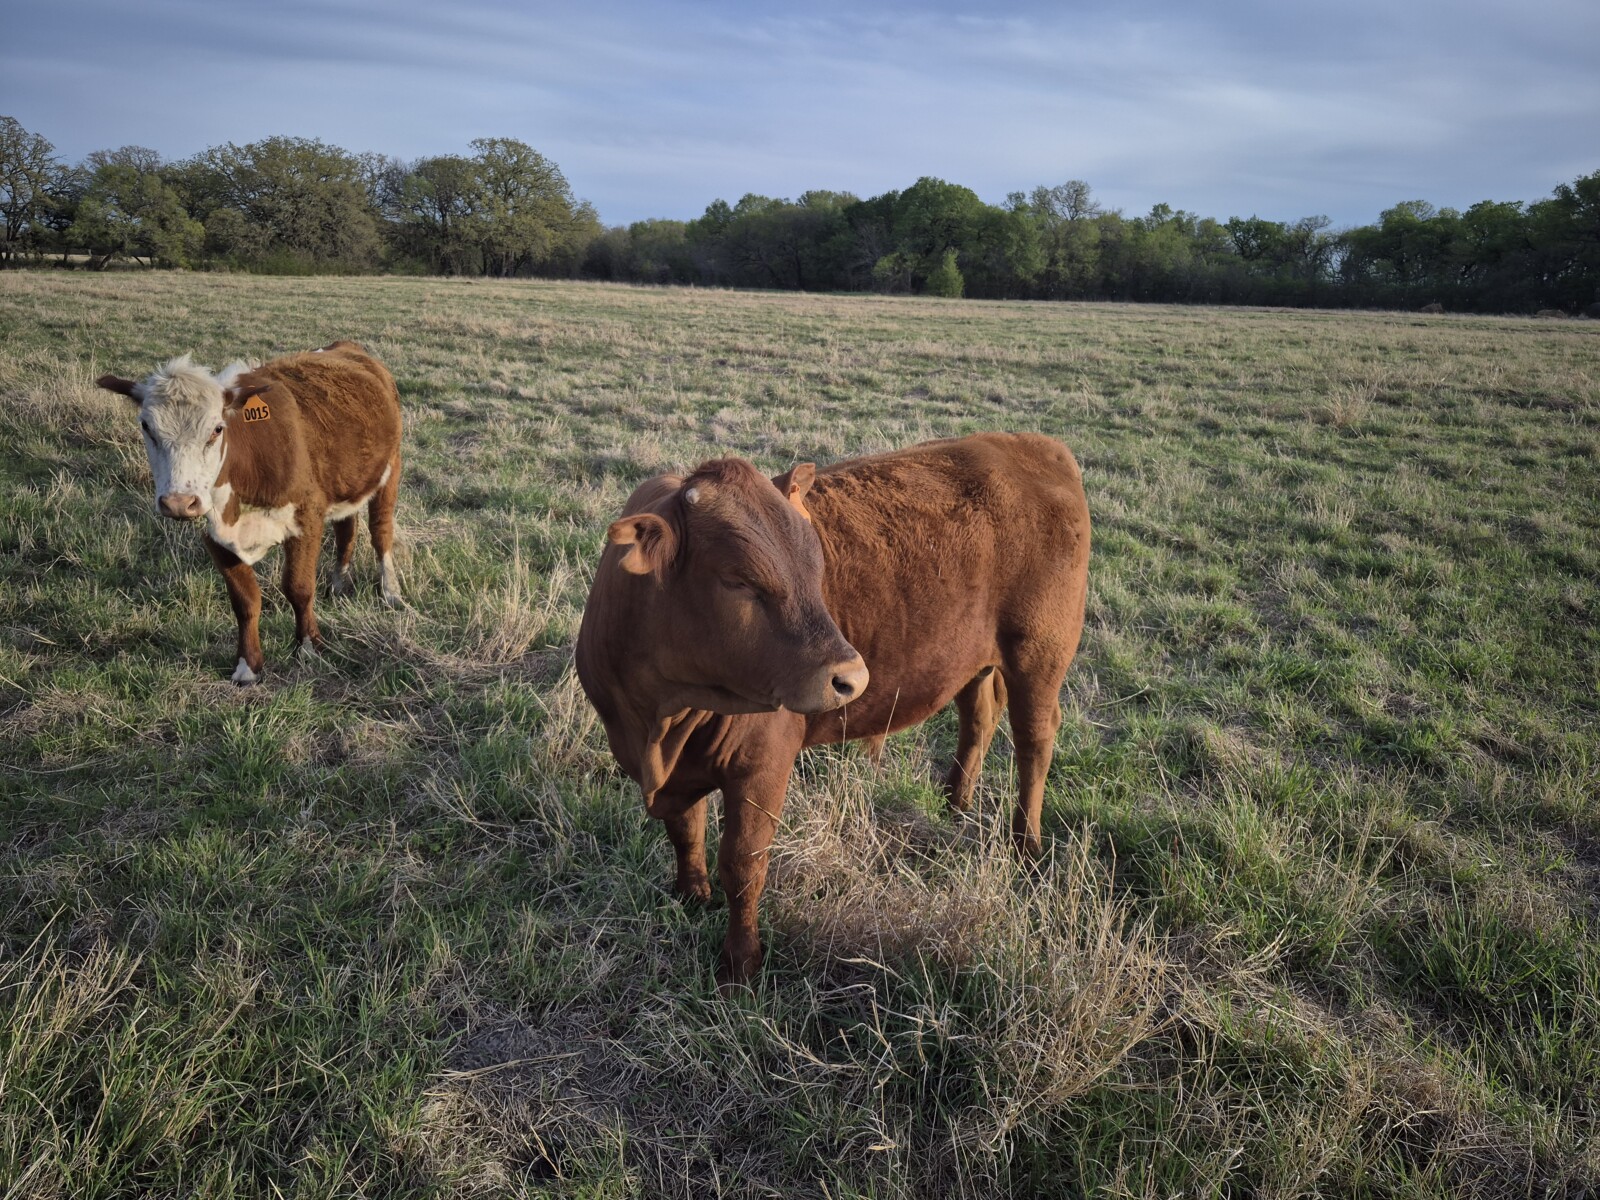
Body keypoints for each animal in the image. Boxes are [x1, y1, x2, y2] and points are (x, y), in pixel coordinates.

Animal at [96, 341, 402, 684]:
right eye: (146, 427)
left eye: (217, 429)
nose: (178, 502)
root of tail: (346, 347)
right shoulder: (214, 535)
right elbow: (245, 601)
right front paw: (247, 666)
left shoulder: (307, 518)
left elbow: (298, 588)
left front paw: (309, 646)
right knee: (346, 529)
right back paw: (338, 584)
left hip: (391, 469)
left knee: (380, 532)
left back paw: (391, 591)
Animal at [576, 432, 1090, 986]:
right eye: (739, 580)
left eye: (816, 566)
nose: (853, 677)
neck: (661, 724)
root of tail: (1031, 443)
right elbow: (686, 832)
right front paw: (690, 895)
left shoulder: (762, 765)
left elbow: (743, 863)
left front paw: (741, 963)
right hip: (975, 659)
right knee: (978, 715)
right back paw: (955, 800)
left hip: (1039, 655)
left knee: (1034, 742)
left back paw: (1026, 846)